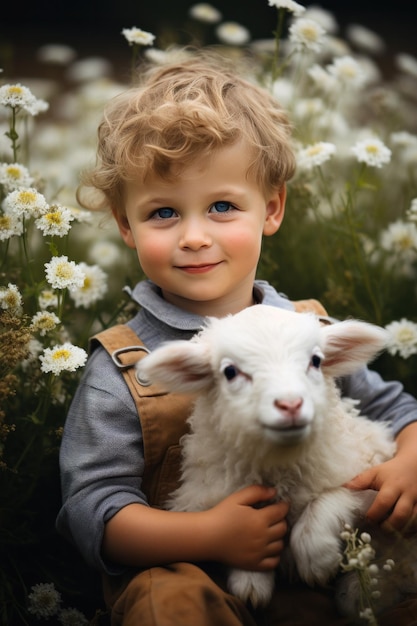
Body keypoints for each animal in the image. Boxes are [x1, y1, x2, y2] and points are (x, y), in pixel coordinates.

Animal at [135, 302, 394, 604]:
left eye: (316, 361)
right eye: (230, 372)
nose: (290, 404)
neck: (279, 468)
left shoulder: (364, 474)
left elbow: (332, 498)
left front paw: (317, 560)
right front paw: (250, 582)